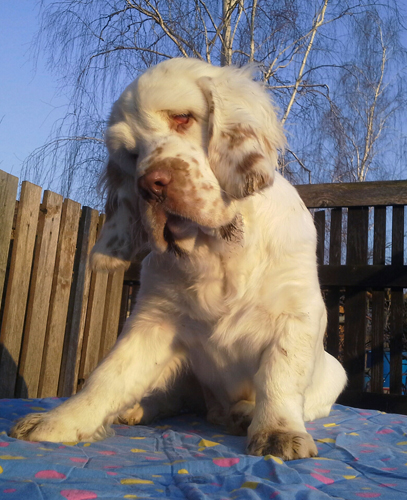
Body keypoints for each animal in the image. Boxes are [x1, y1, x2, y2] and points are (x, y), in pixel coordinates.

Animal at [11, 58, 346, 460]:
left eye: (182, 118)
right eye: (132, 154)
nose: (149, 185)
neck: (217, 248)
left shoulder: (295, 314)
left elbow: (278, 373)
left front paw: (277, 432)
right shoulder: (153, 321)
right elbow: (109, 375)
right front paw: (57, 421)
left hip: (335, 372)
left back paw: (242, 413)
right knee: (171, 397)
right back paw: (137, 409)